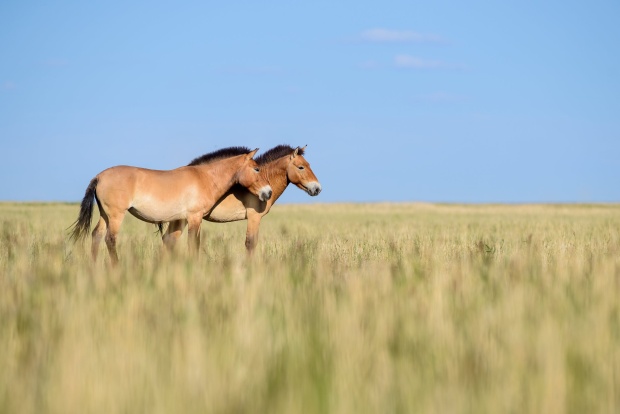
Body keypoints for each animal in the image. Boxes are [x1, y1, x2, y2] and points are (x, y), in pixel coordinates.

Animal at [70, 146, 272, 262]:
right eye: (256, 169)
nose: (268, 192)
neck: (205, 178)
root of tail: (99, 176)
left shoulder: (190, 219)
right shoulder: (194, 217)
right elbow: (192, 244)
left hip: (105, 215)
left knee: (96, 236)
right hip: (116, 216)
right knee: (110, 240)